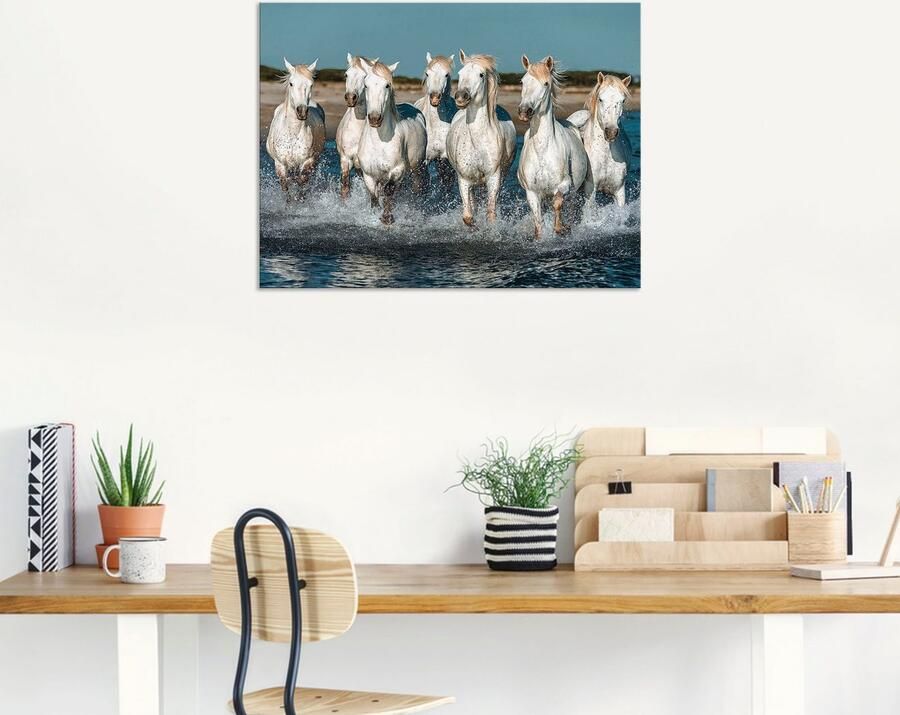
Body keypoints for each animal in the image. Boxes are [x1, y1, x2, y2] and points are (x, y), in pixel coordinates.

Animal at [265, 58, 326, 199]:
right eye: (291, 84)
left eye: (311, 85)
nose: (302, 111)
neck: (292, 133)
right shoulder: (280, 165)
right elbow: (285, 188)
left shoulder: (307, 162)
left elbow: (301, 186)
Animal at [355, 60, 428, 224]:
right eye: (366, 85)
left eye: (387, 85)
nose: (374, 118)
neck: (379, 142)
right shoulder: (369, 174)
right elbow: (374, 196)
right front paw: (375, 214)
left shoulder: (397, 170)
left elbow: (389, 190)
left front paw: (387, 217)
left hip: (417, 168)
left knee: (416, 188)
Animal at [445, 50, 517, 227]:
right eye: (460, 74)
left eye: (481, 75)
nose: (461, 97)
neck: (478, 142)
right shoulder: (464, 179)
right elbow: (468, 216)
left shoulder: (493, 178)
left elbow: (491, 214)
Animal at [516, 55, 589, 239]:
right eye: (522, 81)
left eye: (546, 83)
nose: (524, 111)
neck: (543, 149)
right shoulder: (532, 192)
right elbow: (539, 222)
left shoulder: (564, 184)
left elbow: (557, 202)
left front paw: (559, 228)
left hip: (574, 191)